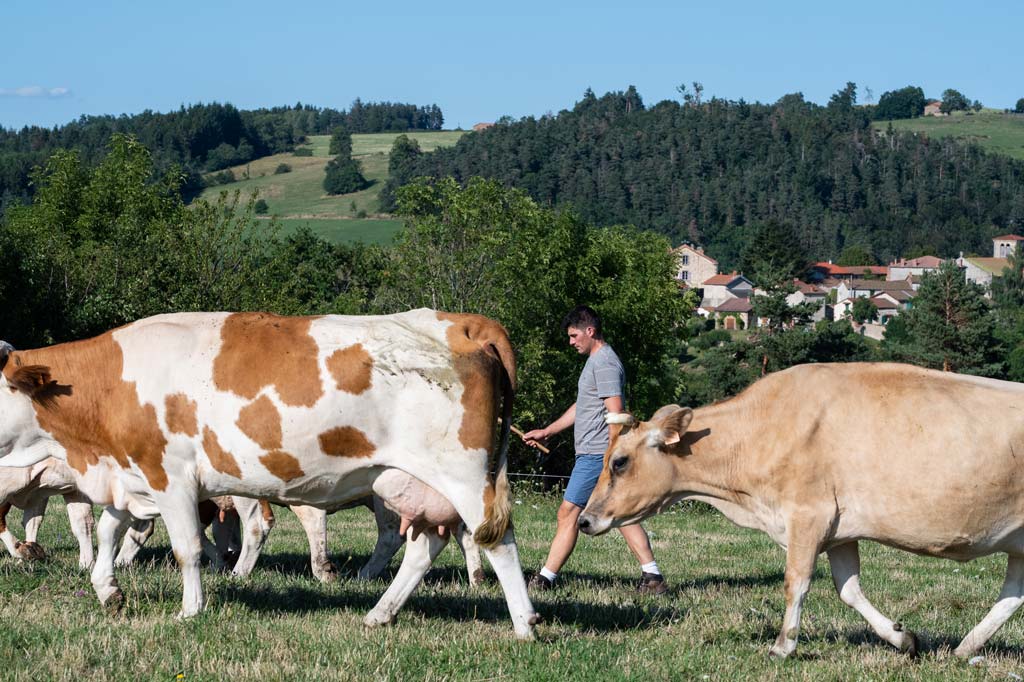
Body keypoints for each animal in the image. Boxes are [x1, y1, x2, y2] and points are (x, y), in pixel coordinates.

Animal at [0, 309, 540, 638]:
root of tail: (456, 321)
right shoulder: (132, 477)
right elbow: (110, 531)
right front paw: (106, 589)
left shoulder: (171, 477)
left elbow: (187, 548)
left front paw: (189, 610)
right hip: (410, 482)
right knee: (426, 545)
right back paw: (379, 613)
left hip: (465, 476)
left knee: (498, 542)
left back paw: (524, 625)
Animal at [581, 364, 1024, 655]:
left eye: (618, 461)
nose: (585, 519)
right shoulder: (841, 530)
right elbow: (849, 590)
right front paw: (903, 638)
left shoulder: (808, 516)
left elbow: (796, 581)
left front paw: (783, 646)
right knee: (1012, 596)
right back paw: (966, 647)